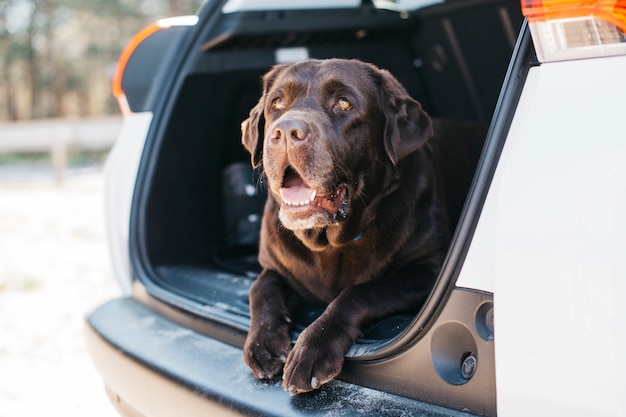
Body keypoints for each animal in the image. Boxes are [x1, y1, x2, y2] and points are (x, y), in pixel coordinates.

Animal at [239, 57, 482, 394]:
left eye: (344, 103)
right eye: (277, 103)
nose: (286, 131)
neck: (329, 242)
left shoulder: (428, 272)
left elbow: (358, 293)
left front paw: (312, 350)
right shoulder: (274, 267)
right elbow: (260, 289)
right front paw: (263, 344)